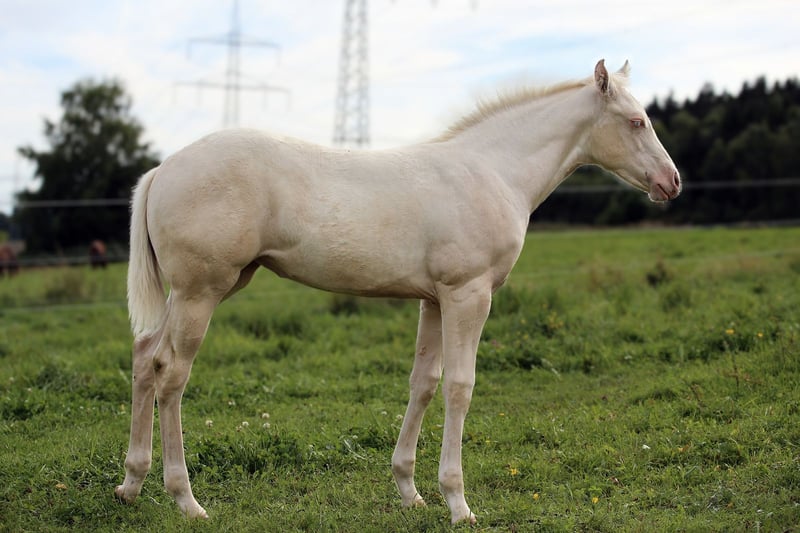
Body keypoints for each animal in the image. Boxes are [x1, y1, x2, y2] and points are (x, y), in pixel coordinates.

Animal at [115, 60, 681, 524]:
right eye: (636, 121)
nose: (672, 182)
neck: (493, 172)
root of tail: (162, 169)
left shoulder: (434, 299)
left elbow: (423, 383)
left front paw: (410, 490)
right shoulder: (468, 295)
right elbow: (460, 386)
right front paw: (458, 502)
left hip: (202, 289)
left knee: (144, 357)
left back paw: (130, 484)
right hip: (201, 292)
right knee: (171, 374)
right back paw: (186, 499)